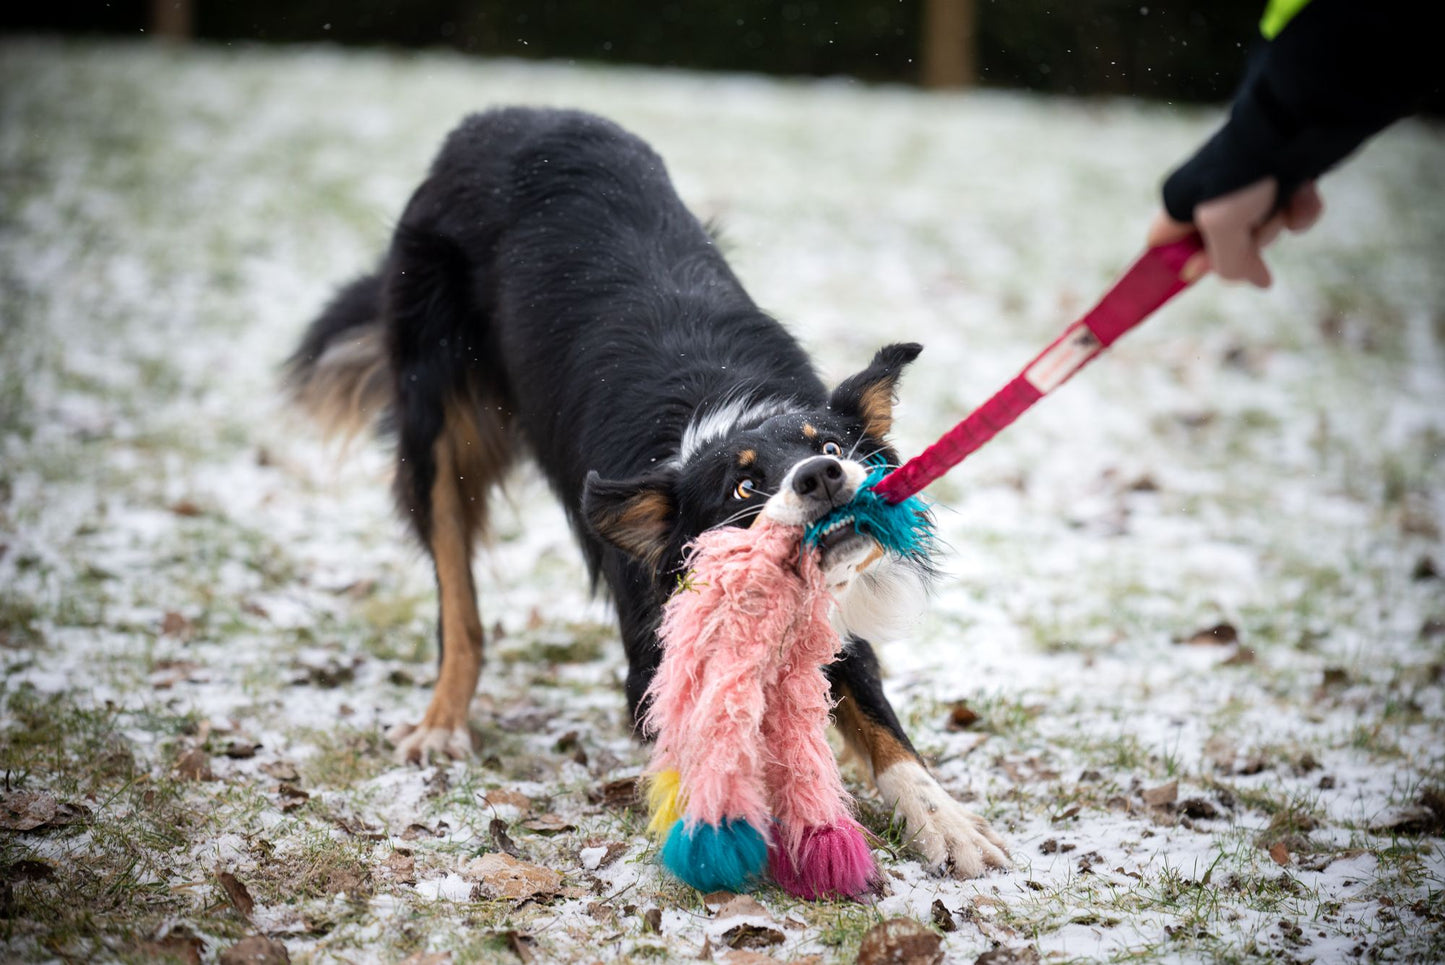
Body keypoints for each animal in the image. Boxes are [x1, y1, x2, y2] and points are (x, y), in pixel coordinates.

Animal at [281, 107, 1005, 884]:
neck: (724, 417)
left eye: (833, 447)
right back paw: (441, 724)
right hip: (437, 421)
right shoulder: (653, 648)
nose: (819, 477)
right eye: (743, 485)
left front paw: (945, 821)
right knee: (457, 599)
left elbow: (880, 721)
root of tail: (499, 115)